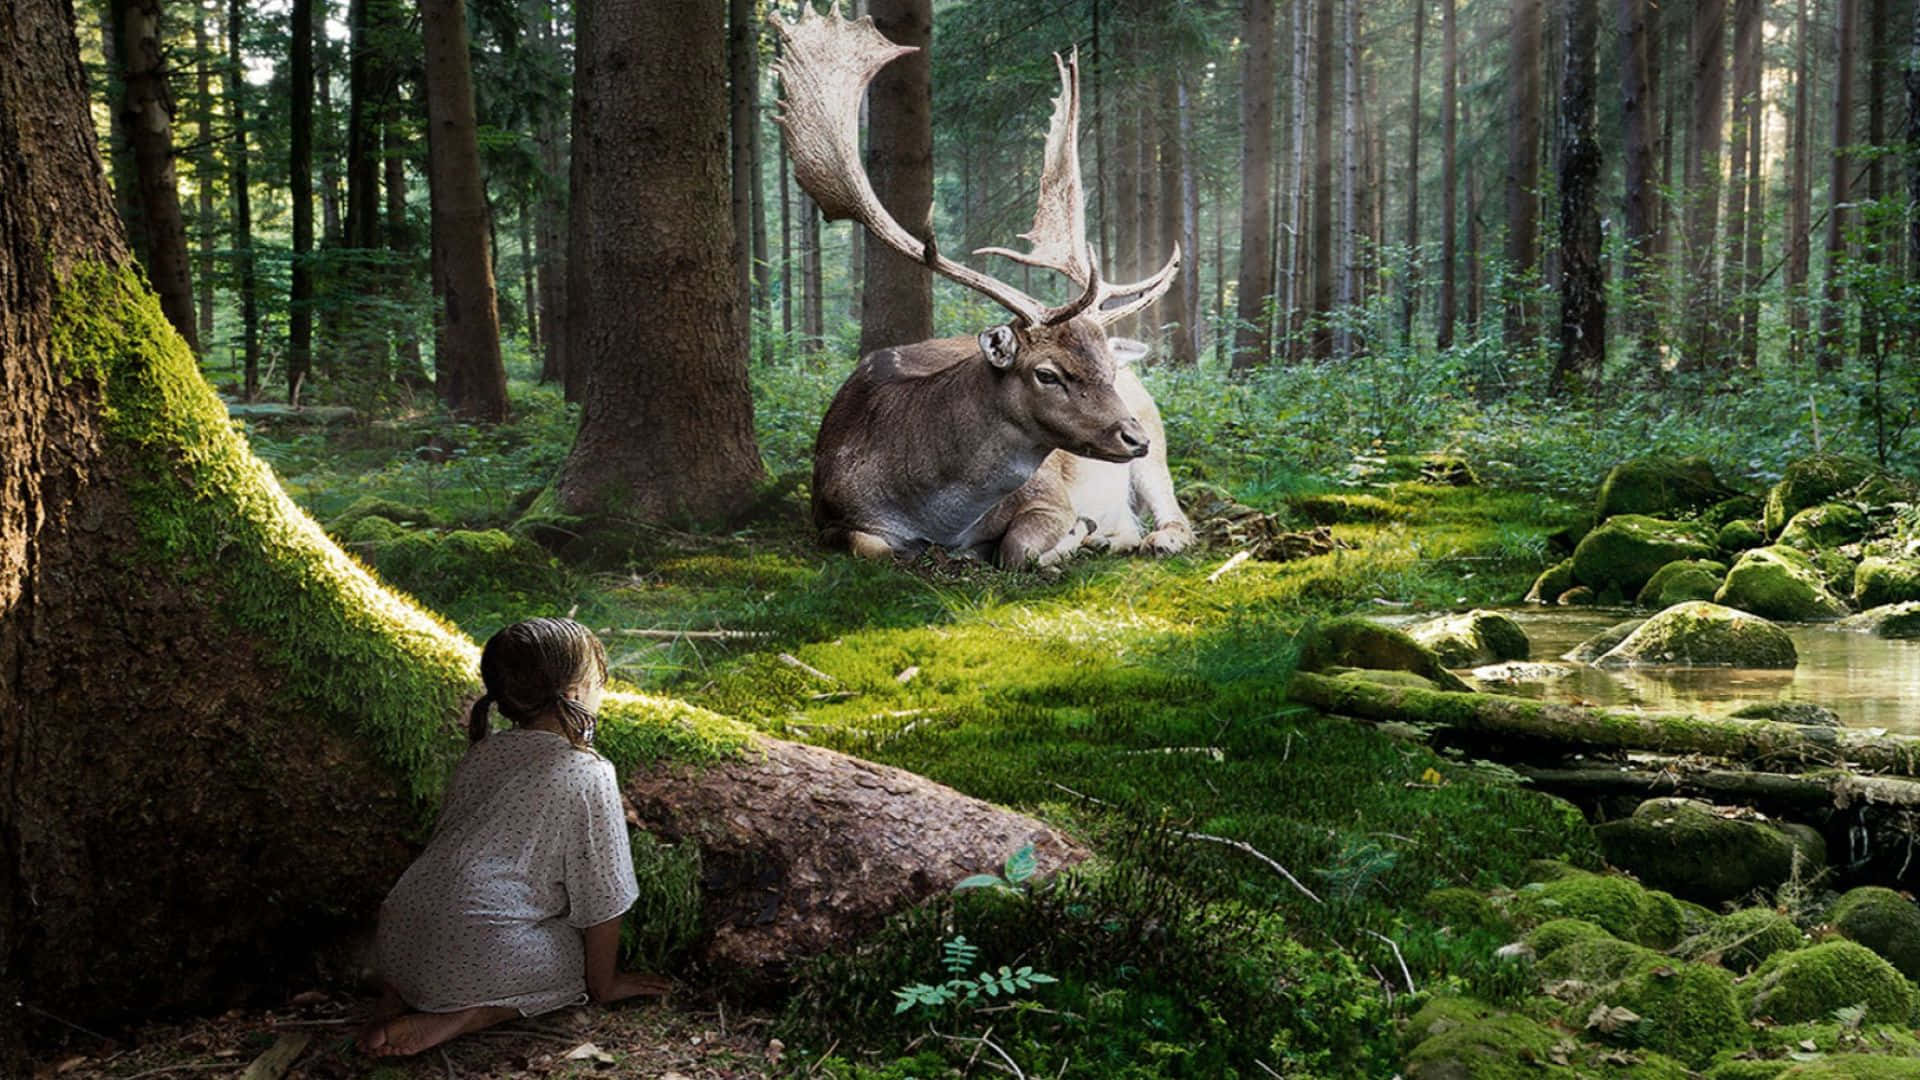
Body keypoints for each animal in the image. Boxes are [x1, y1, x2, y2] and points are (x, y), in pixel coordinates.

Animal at [772, 3, 1194, 568]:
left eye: (1106, 369)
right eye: (1047, 374)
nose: (1132, 437)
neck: (936, 515)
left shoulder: (1049, 494)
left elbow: (1018, 548)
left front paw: (1067, 538)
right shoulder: (829, 514)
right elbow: (873, 547)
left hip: (1157, 440)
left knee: (1173, 513)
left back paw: (1147, 536)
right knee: (1129, 521)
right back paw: (1107, 535)